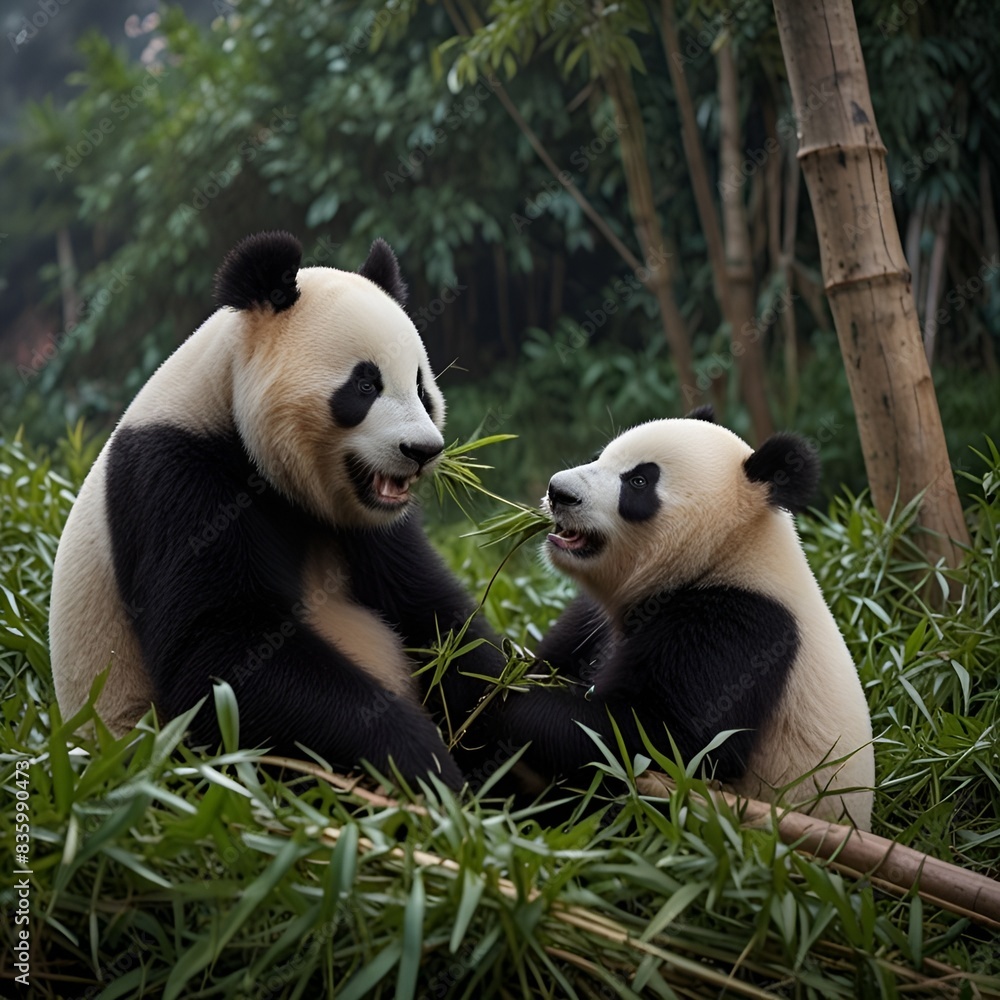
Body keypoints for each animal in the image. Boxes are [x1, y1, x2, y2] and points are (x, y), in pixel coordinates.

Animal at [49, 231, 505, 790]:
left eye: (421, 388)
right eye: (365, 385)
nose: (422, 450)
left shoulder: (369, 527)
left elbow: (437, 620)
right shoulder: (175, 478)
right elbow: (220, 656)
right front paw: (423, 764)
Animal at [500, 408, 875, 829]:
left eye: (639, 481)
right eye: (600, 456)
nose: (559, 492)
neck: (730, 550)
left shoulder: (741, 628)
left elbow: (667, 742)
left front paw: (511, 699)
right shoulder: (594, 617)